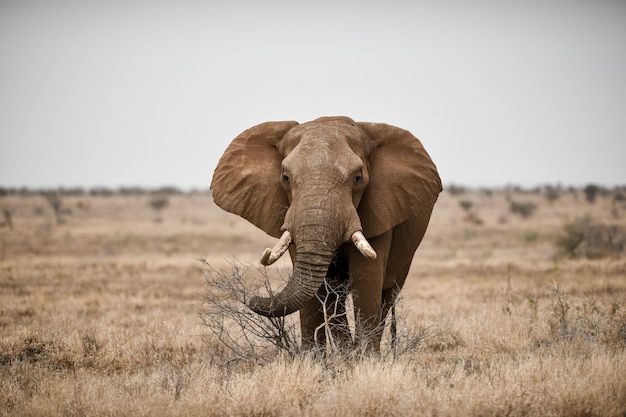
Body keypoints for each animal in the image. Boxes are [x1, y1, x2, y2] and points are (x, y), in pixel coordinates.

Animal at [212, 116, 442, 352]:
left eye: (357, 178)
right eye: (285, 178)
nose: (251, 298)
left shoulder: (380, 210)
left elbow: (366, 278)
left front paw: (365, 359)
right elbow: (319, 288)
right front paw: (314, 358)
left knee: (387, 295)